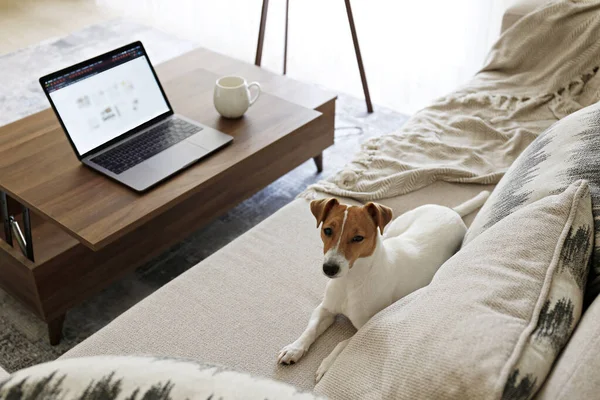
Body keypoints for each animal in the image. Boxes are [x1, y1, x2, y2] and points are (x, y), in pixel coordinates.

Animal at [278, 192, 490, 382]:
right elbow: (310, 329)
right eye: (328, 231)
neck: (350, 280)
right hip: (394, 228)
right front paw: (294, 349)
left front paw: (327, 364)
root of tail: (451, 210)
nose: (329, 268)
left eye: (358, 238)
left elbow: (342, 343)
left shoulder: (366, 327)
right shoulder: (325, 309)